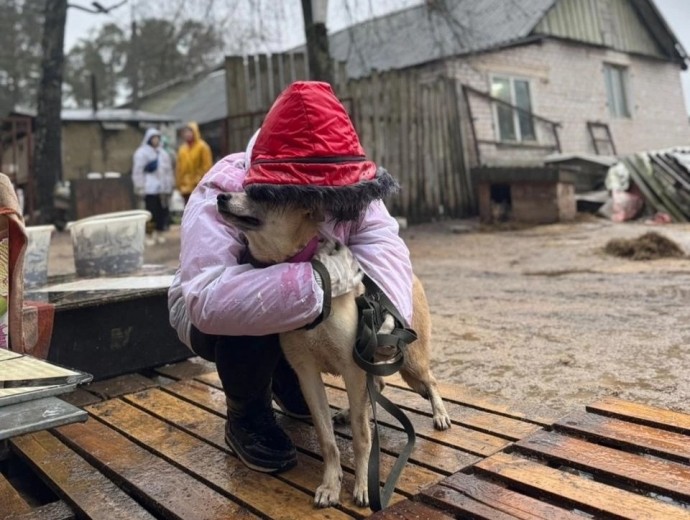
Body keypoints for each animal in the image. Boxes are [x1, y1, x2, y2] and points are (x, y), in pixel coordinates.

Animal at [216, 192, 452, 508]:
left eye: (262, 194)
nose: (220, 196)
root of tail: (412, 276)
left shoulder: (352, 370)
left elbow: (362, 436)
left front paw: (363, 484)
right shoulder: (307, 374)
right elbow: (326, 439)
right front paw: (330, 484)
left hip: (410, 362)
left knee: (431, 381)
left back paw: (440, 415)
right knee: (378, 386)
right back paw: (345, 414)